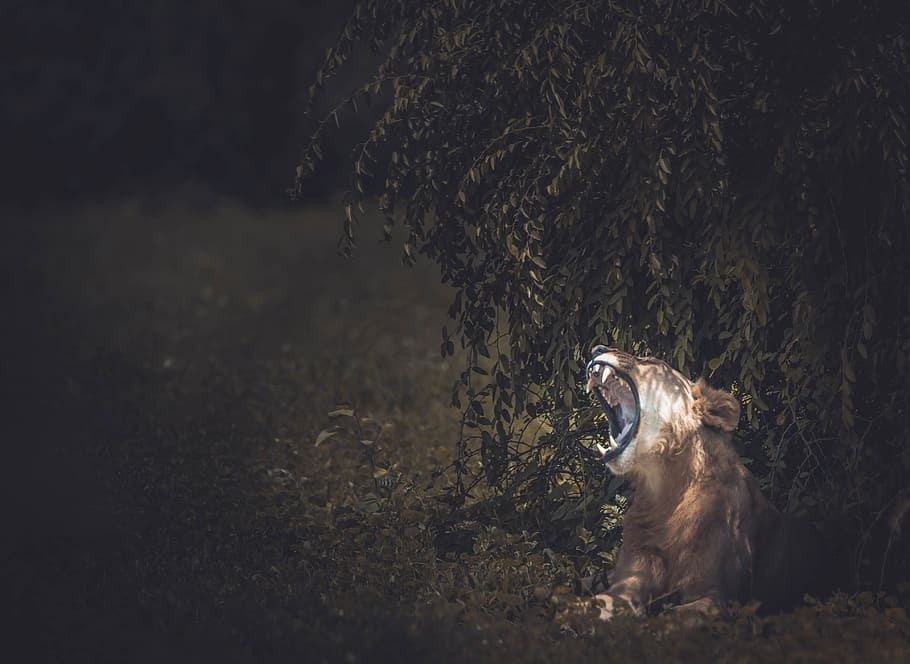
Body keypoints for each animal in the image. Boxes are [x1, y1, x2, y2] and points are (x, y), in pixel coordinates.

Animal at [578, 345, 838, 620]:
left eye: (650, 360)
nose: (597, 348)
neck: (664, 493)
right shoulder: (628, 581)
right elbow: (599, 601)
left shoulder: (716, 596)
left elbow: (671, 618)